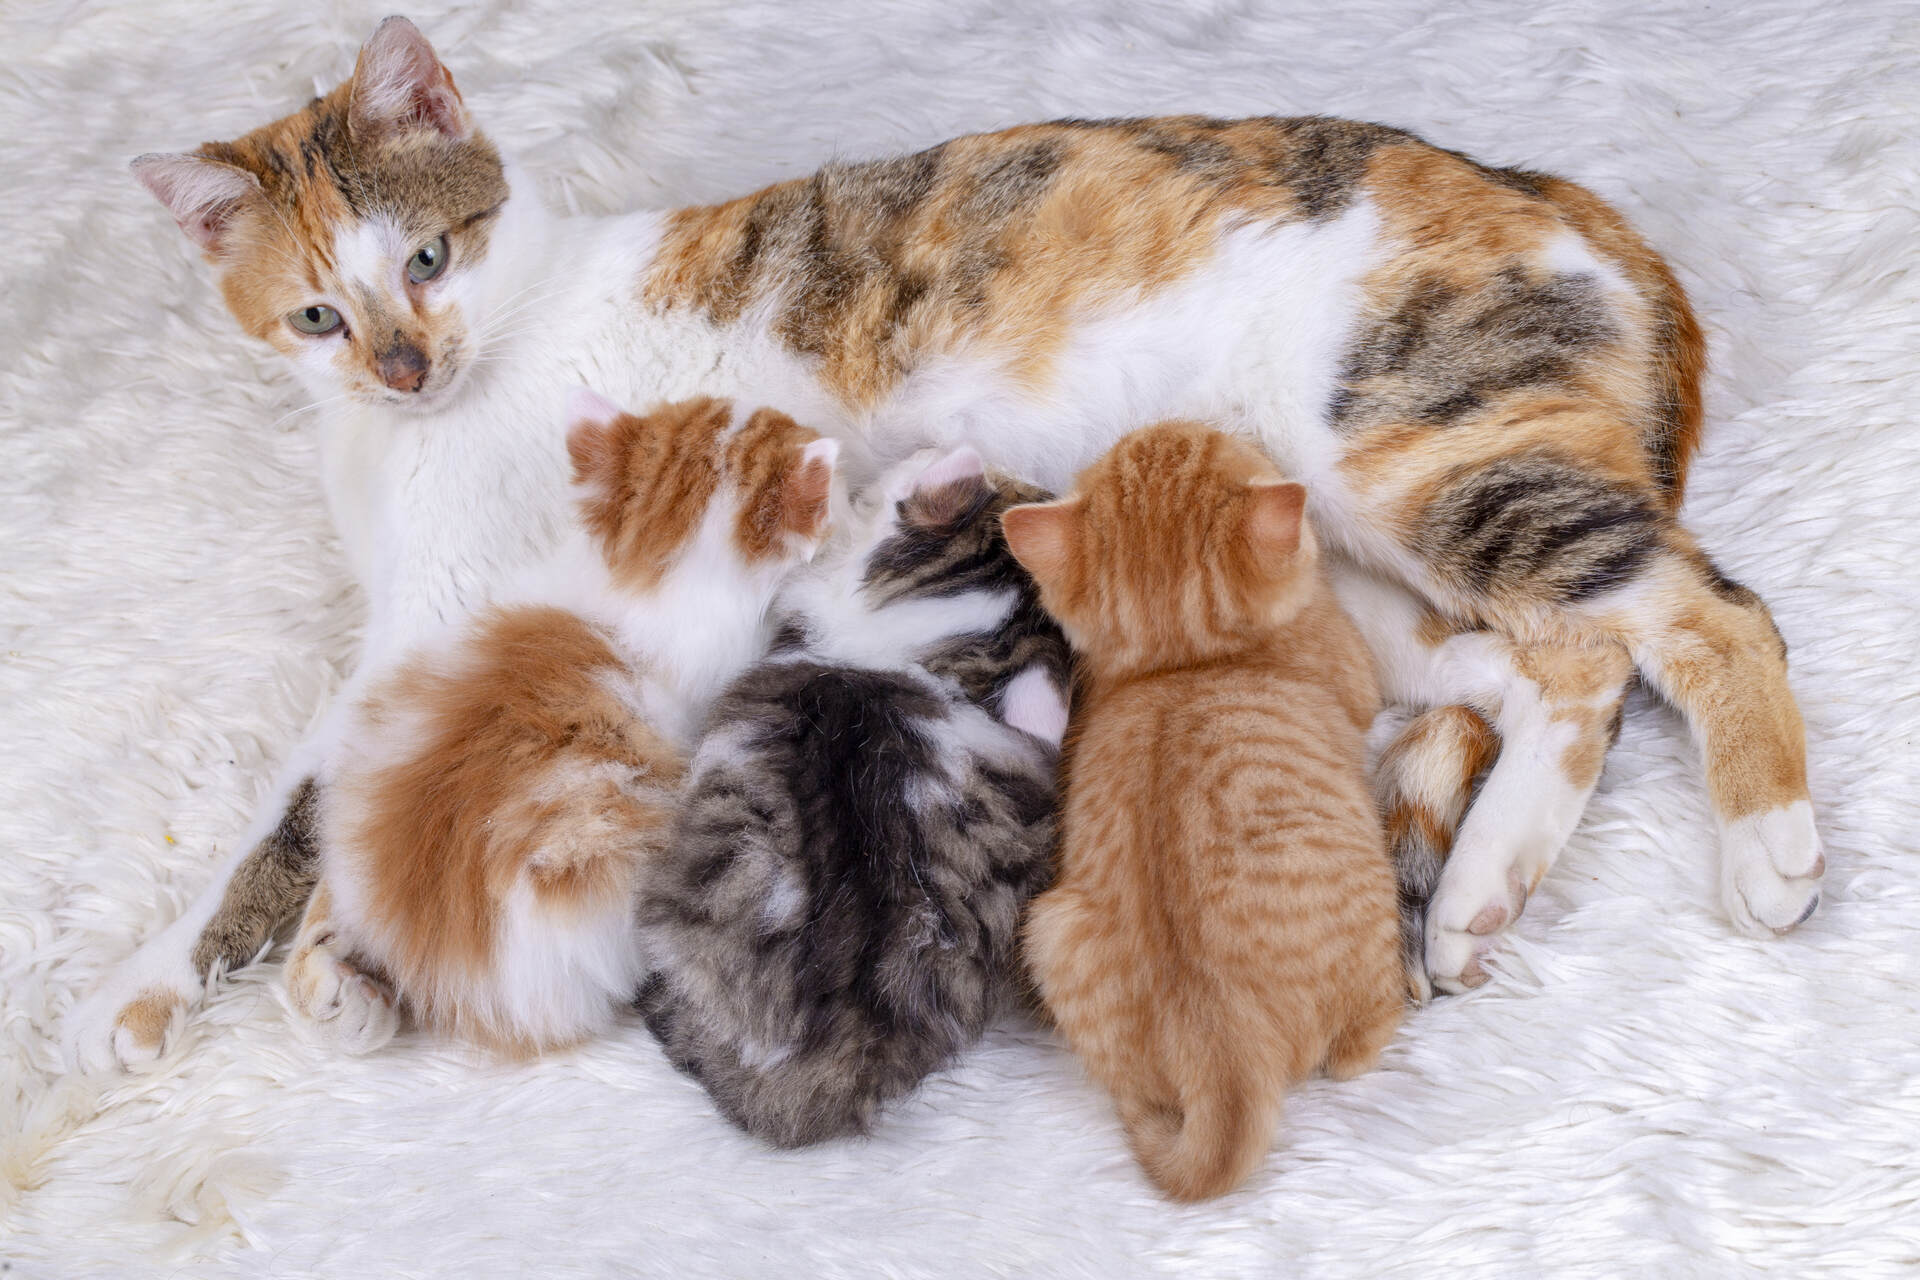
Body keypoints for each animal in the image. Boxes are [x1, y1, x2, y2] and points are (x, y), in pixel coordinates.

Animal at [1006, 426, 1413, 1205]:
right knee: (1357, 1049)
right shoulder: (1357, 677)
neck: (1185, 665)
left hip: (1049, 929)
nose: (1164, 426)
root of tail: (1219, 1049)